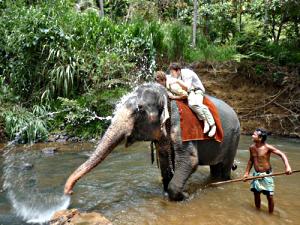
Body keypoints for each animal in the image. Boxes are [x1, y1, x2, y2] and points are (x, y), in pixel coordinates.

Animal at [64, 82, 240, 200]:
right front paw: (169, 192)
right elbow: (164, 161)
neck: (166, 96)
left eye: (139, 109)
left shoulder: (181, 127)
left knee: (225, 167)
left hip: (234, 138)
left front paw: (184, 195)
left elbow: (190, 160)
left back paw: (224, 180)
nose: (69, 192)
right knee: (215, 167)